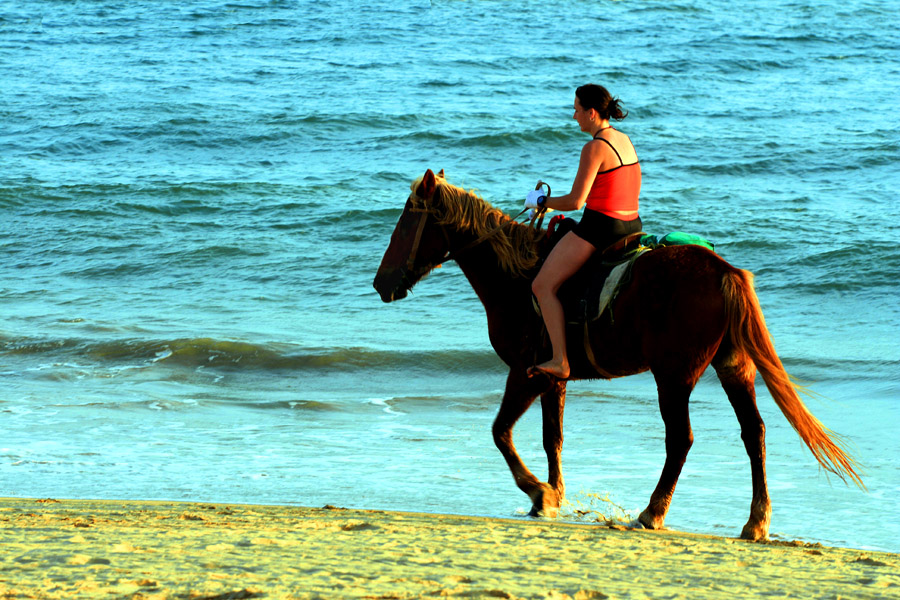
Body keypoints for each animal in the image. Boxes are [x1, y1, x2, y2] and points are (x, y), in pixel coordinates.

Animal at [372, 168, 864, 540]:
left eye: (406, 222)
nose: (381, 283)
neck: (516, 276)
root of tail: (722, 269)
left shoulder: (526, 372)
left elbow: (500, 433)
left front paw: (538, 492)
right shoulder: (554, 378)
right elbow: (552, 439)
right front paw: (551, 495)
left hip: (674, 375)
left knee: (681, 439)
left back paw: (653, 512)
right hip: (733, 368)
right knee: (754, 432)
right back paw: (756, 521)